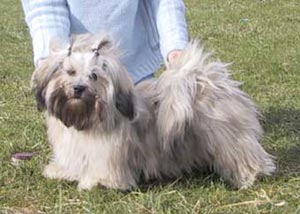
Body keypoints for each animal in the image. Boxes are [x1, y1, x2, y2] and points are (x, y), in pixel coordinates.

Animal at [31, 33, 276, 191]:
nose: (78, 88)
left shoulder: (107, 153)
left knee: (242, 153)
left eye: (94, 76)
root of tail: (206, 80)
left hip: (228, 137)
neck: (85, 118)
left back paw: (250, 175)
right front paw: (62, 171)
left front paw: (96, 183)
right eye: (70, 72)